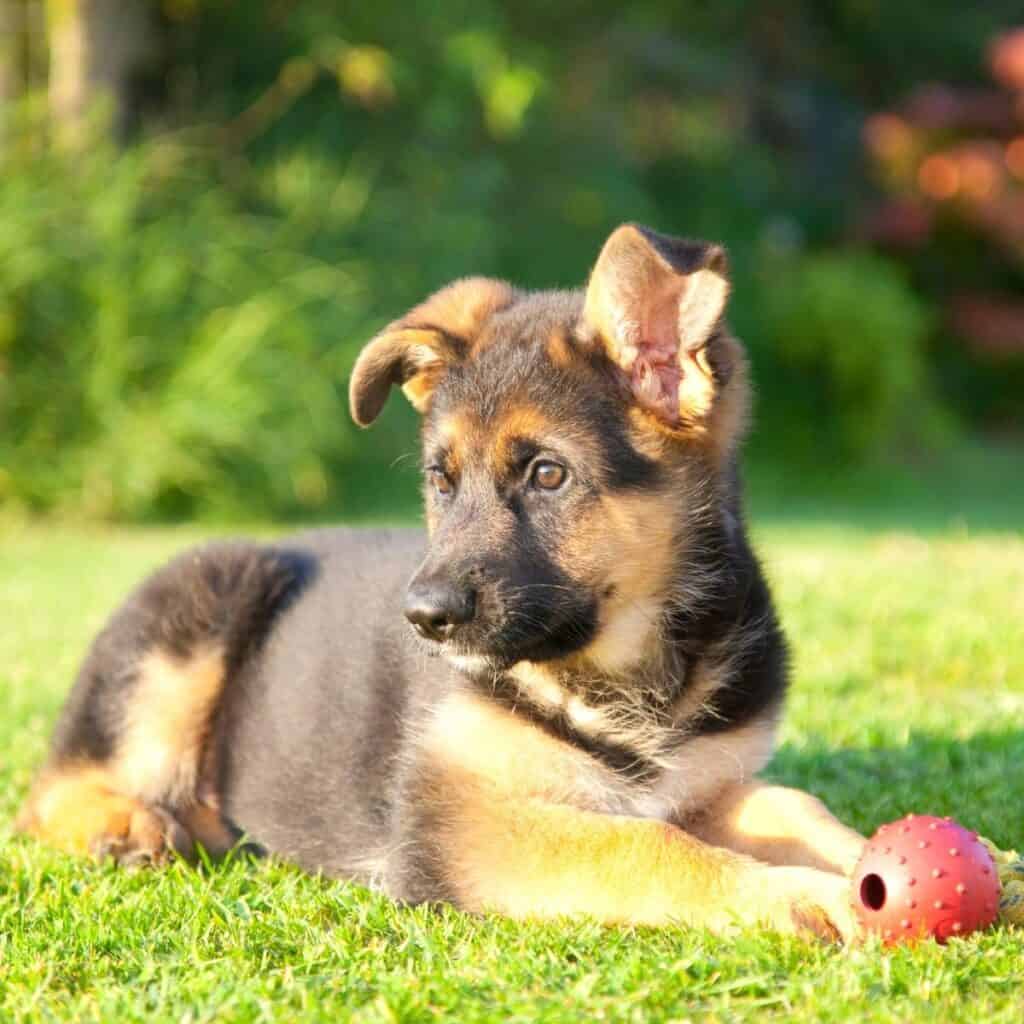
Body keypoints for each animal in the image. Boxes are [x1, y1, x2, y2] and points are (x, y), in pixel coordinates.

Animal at [16, 226, 864, 942]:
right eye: (440, 480)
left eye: (548, 475)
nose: (422, 617)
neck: (628, 668)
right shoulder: (461, 825)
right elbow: (647, 846)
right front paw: (796, 894)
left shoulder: (708, 782)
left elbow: (796, 806)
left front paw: (862, 867)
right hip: (201, 604)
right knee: (45, 792)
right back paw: (127, 826)